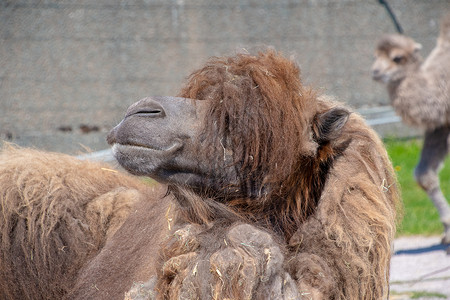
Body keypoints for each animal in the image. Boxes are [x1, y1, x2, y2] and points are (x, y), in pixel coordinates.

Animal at [370, 13, 450, 246]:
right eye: (375, 56)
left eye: (397, 58)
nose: (375, 71)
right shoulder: (440, 126)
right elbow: (425, 176)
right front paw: (447, 231)